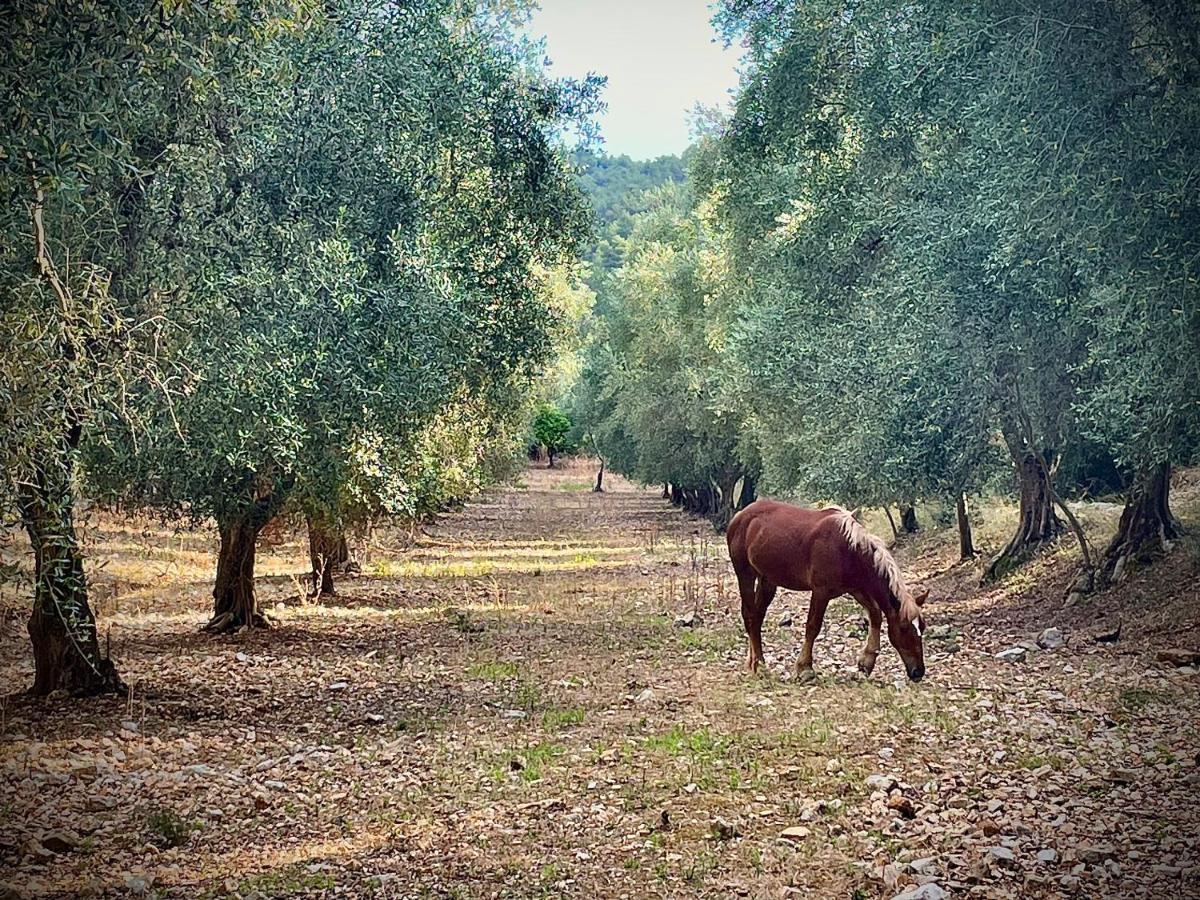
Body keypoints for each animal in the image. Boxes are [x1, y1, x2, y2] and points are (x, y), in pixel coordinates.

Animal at [720, 501, 926, 681]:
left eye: (922, 627)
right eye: (904, 628)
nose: (918, 671)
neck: (850, 549)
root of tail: (741, 515)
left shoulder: (856, 589)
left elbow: (875, 614)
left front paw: (866, 662)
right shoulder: (821, 591)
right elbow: (813, 626)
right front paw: (805, 668)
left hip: (767, 580)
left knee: (757, 618)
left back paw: (753, 663)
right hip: (745, 573)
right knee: (749, 615)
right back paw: (759, 665)